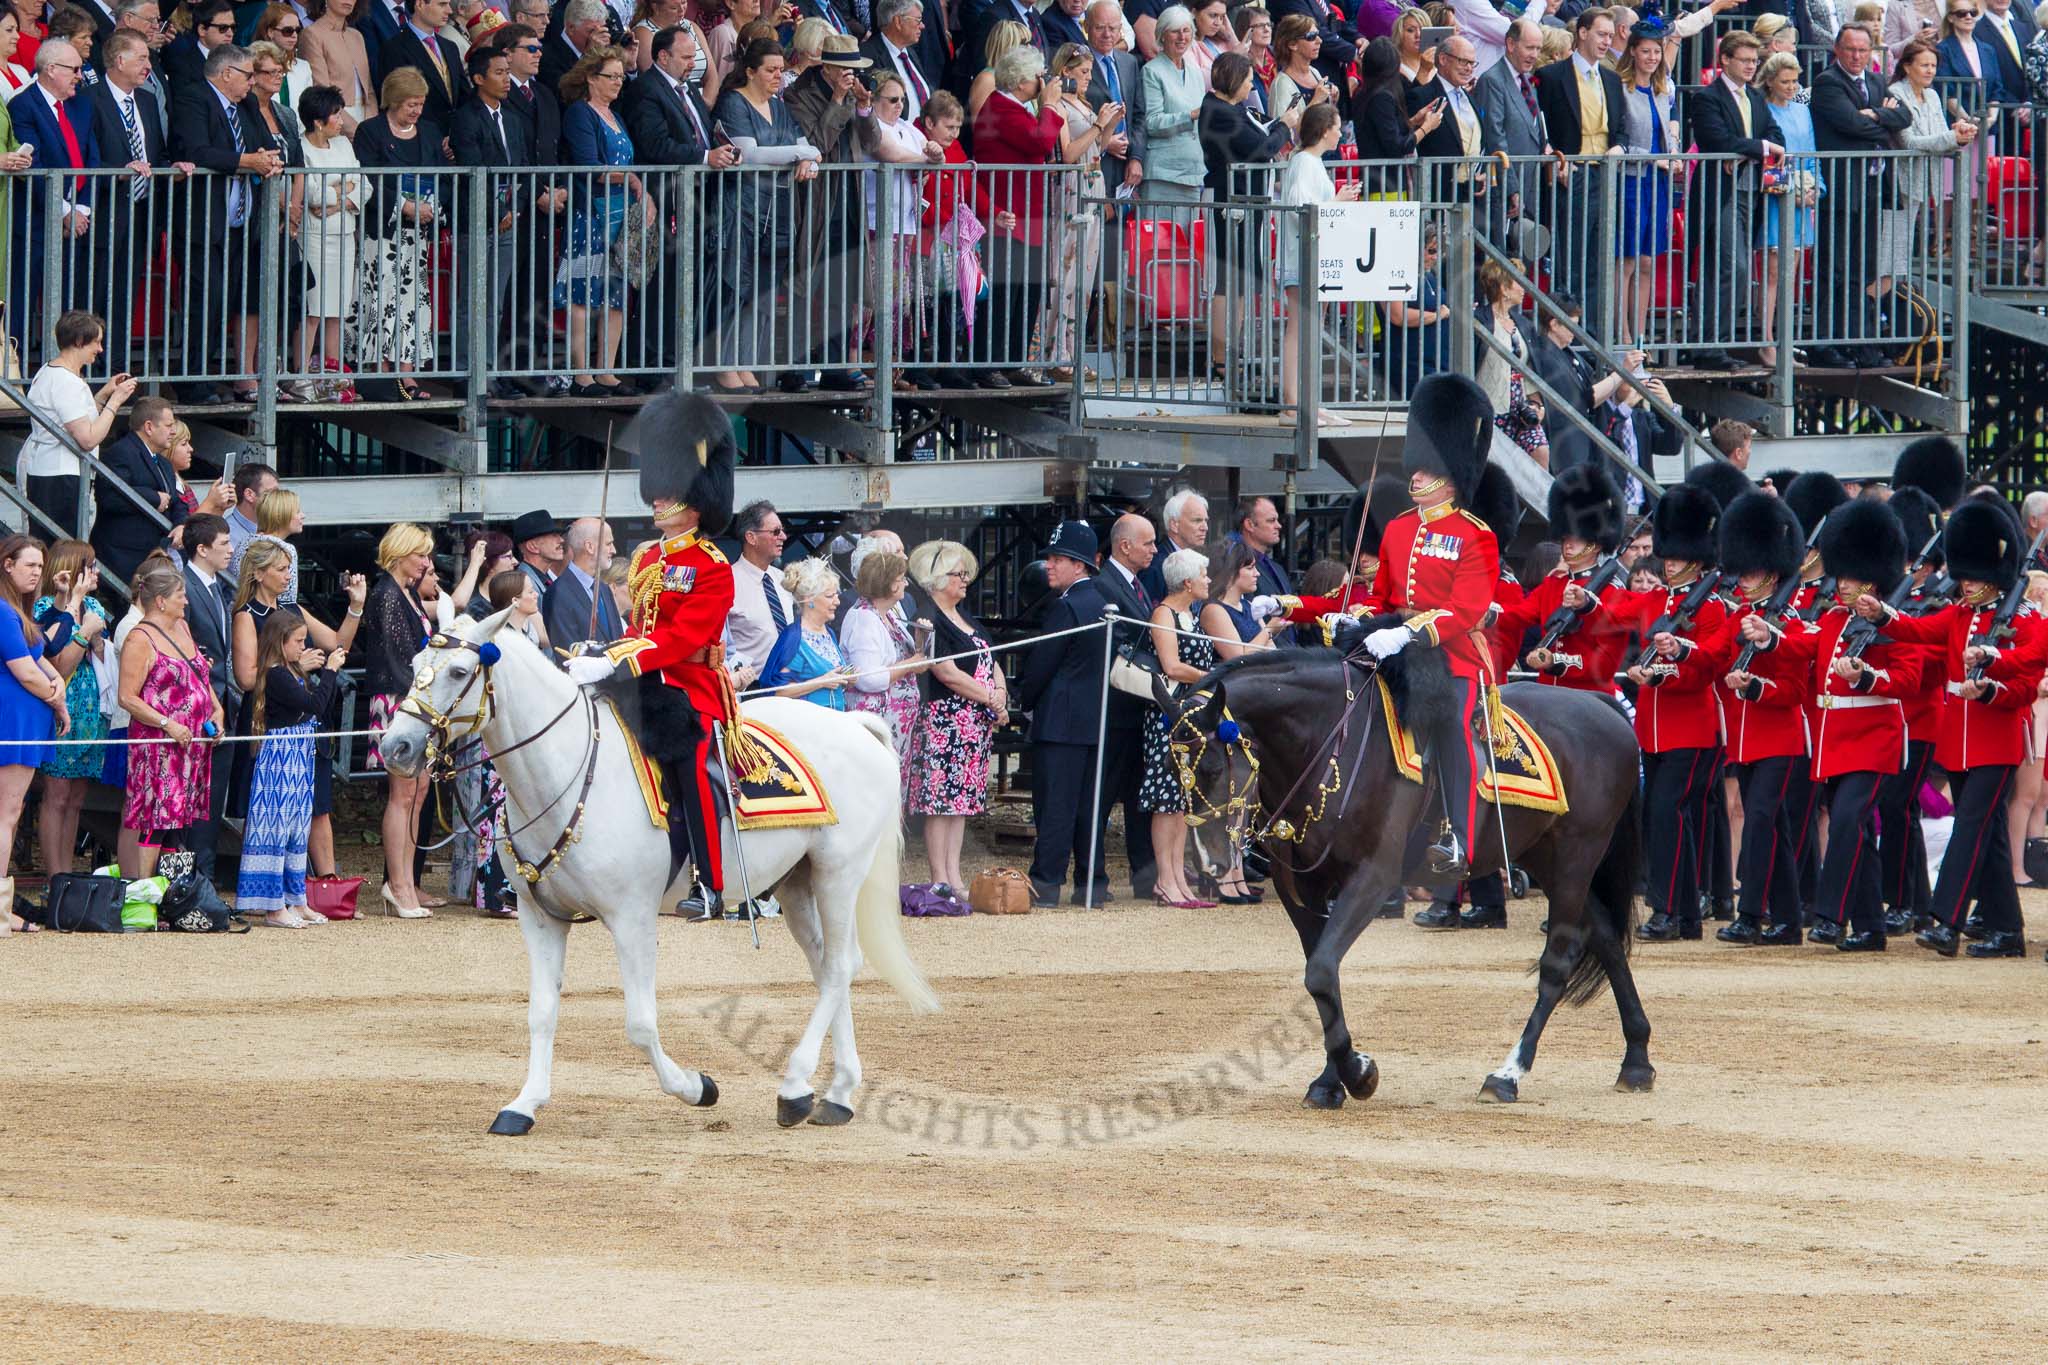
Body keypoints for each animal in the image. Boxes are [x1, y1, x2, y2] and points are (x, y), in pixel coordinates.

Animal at [378, 601, 942, 1137]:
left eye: (458, 672)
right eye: (414, 665)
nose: (394, 747)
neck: (563, 770)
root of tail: (853, 725)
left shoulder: (631, 918)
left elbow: (641, 1024)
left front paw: (697, 1087)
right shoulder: (541, 919)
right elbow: (541, 1013)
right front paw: (523, 1105)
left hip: (837, 873)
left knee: (841, 966)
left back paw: (795, 1086)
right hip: (797, 883)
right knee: (828, 967)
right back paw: (836, 1094)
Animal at [1163, 634, 1654, 1113]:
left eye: (1211, 768)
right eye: (1172, 770)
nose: (1211, 864)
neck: (1327, 743)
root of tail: (1599, 704)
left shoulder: (1373, 877)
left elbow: (1320, 971)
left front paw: (1357, 1073)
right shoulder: (1300, 886)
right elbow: (1321, 974)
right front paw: (1331, 1082)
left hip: (1576, 855)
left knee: (1558, 962)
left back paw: (1508, 1074)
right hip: (1544, 857)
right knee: (1607, 939)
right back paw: (1636, 1060)